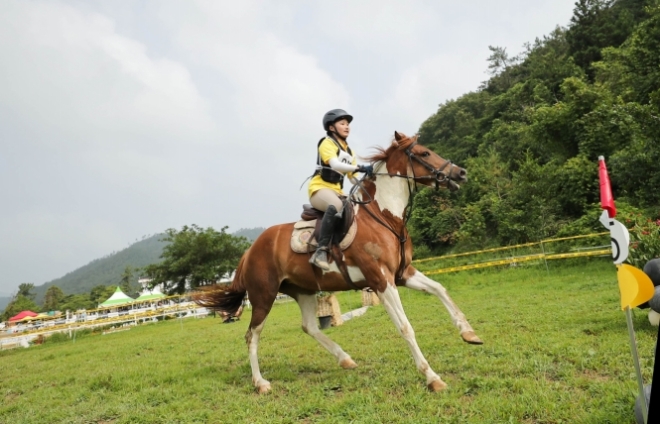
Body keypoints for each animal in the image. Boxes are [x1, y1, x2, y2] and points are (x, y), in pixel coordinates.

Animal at [193, 132, 482, 394]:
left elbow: (440, 289)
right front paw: (432, 378)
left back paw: (345, 359)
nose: (461, 173)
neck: (383, 217)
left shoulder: (402, 274)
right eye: (424, 153)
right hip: (264, 296)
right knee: (252, 335)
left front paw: (469, 334)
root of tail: (250, 250)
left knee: (309, 327)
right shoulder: (382, 280)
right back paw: (261, 383)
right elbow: (405, 327)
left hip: (304, 291)